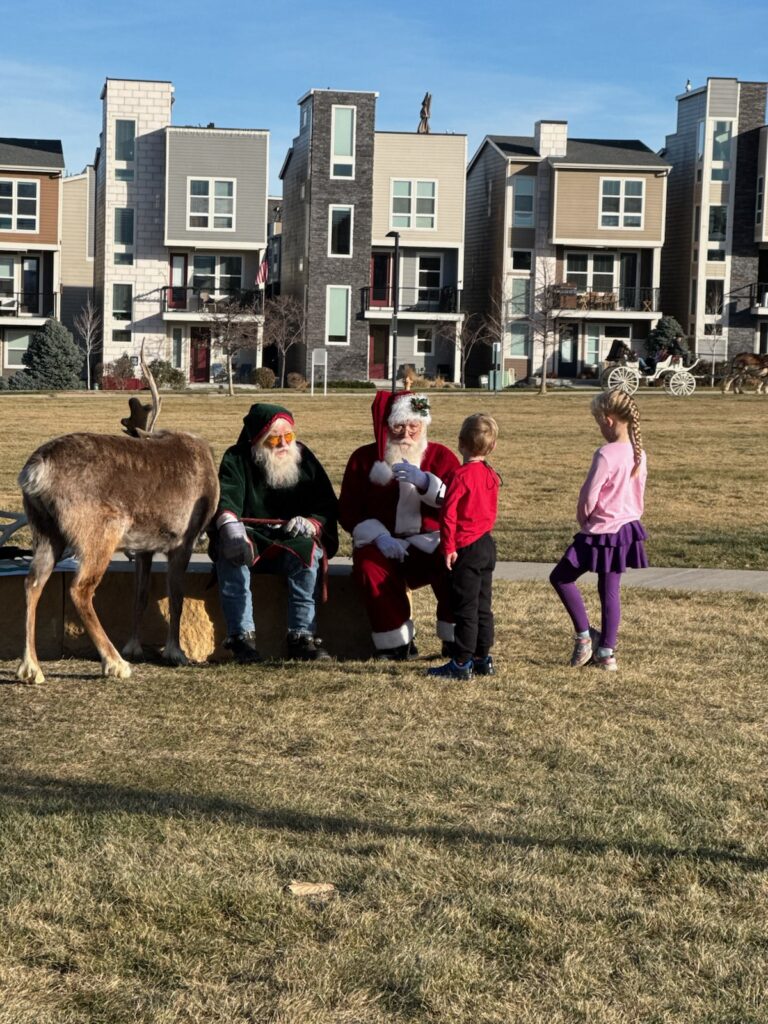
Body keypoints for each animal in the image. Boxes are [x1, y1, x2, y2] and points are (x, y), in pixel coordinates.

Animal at [17, 347, 220, 683]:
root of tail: (35, 472)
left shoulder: (145, 548)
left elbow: (140, 595)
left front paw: (134, 646)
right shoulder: (183, 540)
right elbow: (176, 596)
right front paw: (175, 652)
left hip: (45, 530)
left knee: (33, 582)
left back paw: (31, 668)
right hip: (100, 530)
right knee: (80, 589)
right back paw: (114, 663)